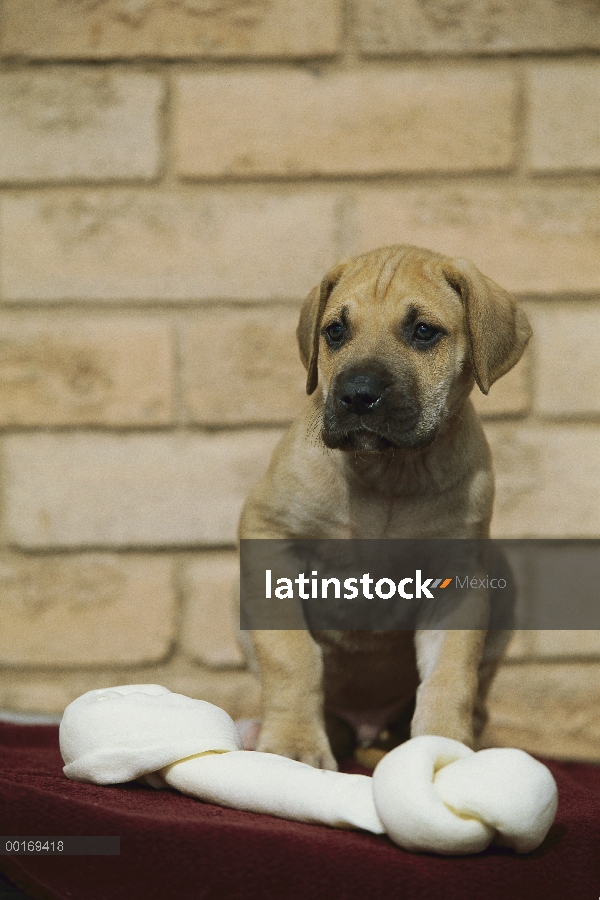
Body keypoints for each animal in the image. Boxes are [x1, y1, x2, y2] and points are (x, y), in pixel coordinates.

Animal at [239, 246, 528, 772]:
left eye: (423, 331)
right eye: (335, 331)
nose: (357, 395)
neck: (389, 473)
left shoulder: (458, 582)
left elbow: (450, 675)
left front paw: (444, 748)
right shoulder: (269, 536)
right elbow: (292, 655)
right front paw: (292, 743)